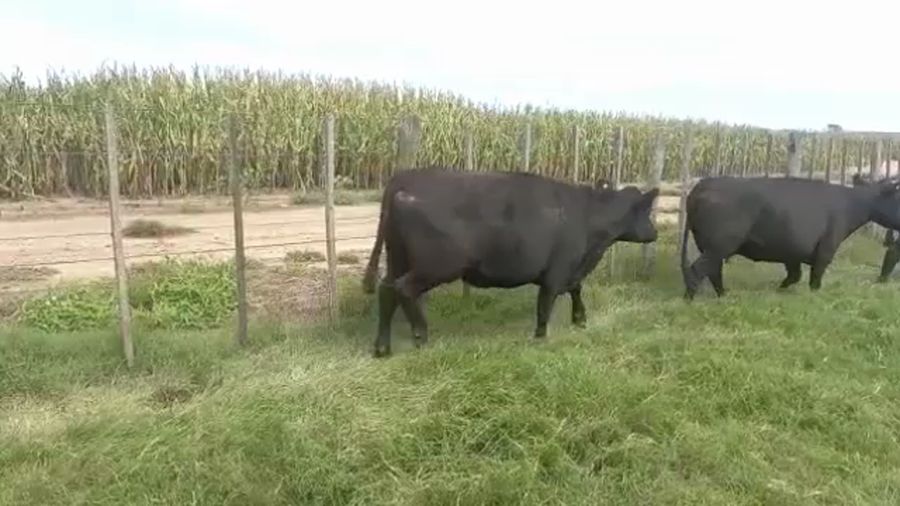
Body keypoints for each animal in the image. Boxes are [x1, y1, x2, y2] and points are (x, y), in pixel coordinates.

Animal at [361, 166, 660, 358]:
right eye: (646, 210)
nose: (655, 233)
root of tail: (402, 184)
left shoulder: (571, 270)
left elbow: (576, 289)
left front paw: (579, 319)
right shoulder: (556, 273)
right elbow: (545, 306)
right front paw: (541, 338)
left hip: (397, 258)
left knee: (387, 291)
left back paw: (382, 348)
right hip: (436, 266)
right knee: (404, 289)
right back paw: (421, 337)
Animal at [680, 175, 900, 300]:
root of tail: (702, 185)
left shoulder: (792, 251)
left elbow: (795, 275)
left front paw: (779, 290)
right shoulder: (827, 247)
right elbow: (815, 278)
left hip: (711, 246)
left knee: (713, 270)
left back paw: (723, 295)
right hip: (720, 245)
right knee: (698, 270)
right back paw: (689, 300)